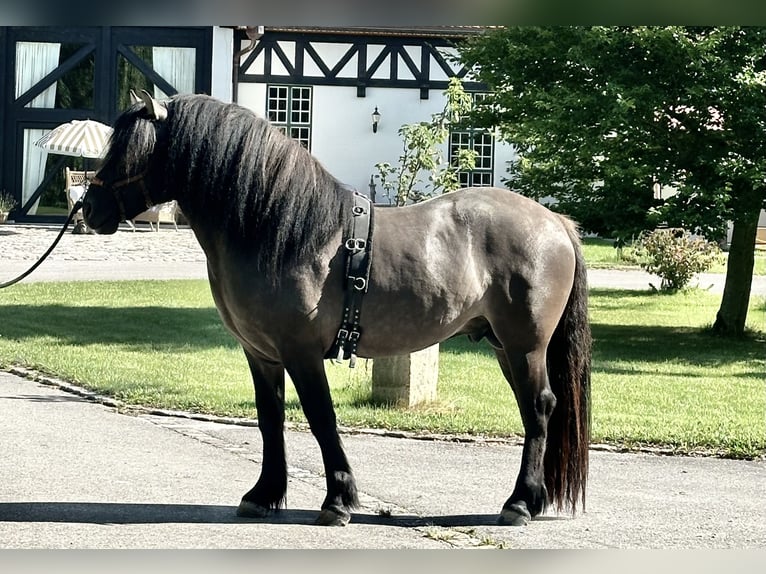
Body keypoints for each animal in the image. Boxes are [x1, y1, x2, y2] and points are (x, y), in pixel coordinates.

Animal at [81, 92, 592, 528]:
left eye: (131, 150)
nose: (89, 209)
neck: (280, 230)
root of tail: (554, 222)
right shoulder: (261, 355)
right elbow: (270, 418)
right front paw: (263, 494)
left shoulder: (301, 352)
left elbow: (320, 416)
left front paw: (339, 500)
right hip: (504, 345)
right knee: (533, 408)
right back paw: (531, 499)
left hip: (525, 345)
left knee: (539, 408)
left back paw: (520, 503)